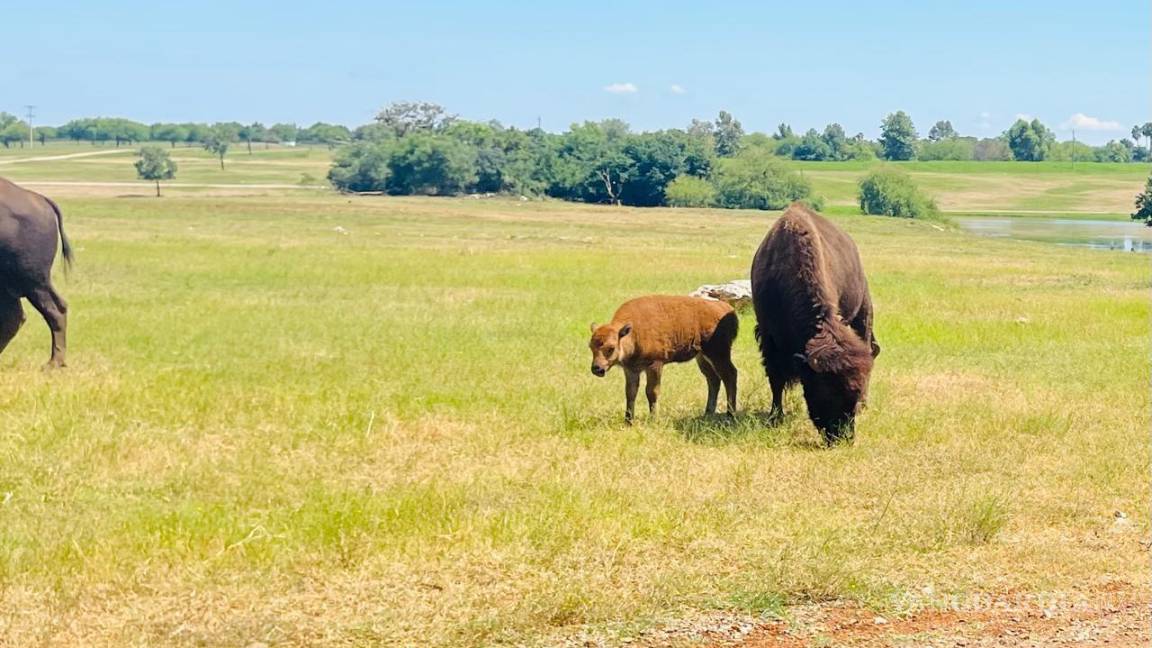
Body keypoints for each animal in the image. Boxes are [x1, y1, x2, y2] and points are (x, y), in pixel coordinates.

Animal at [0, 178, 73, 366]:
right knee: (15, 317)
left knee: (56, 310)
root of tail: (40, 199)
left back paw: (54, 363)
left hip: (32, 281)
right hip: (11, 285)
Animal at [585, 294, 737, 424]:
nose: (597, 369)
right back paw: (708, 413)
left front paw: (653, 420)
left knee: (730, 375)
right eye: (590, 346)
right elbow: (630, 393)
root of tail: (727, 309)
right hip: (702, 357)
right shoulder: (631, 370)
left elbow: (651, 392)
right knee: (713, 380)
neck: (633, 334)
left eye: (611, 348)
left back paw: (730, 415)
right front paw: (628, 421)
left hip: (718, 354)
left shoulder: (655, 365)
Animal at [751, 201, 875, 442]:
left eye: (853, 394)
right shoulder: (769, 337)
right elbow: (775, 379)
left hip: (863, 312)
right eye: (827, 392)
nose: (843, 437)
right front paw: (775, 417)